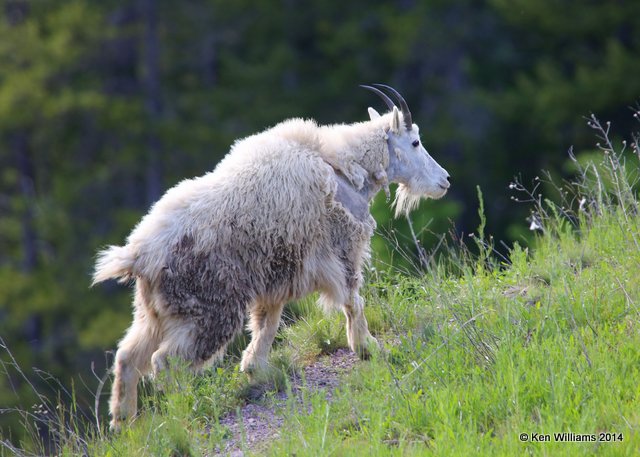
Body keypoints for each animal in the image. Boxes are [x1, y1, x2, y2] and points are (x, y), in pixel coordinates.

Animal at [92, 83, 450, 430]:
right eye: (415, 141)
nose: (445, 180)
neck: (344, 170)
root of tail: (140, 254)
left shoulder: (276, 276)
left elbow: (267, 323)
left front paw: (256, 369)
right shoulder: (342, 249)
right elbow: (353, 300)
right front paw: (367, 346)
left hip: (154, 311)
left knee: (128, 357)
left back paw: (123, 424)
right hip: (206, 310)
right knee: (165, 362)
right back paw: (183, 410)